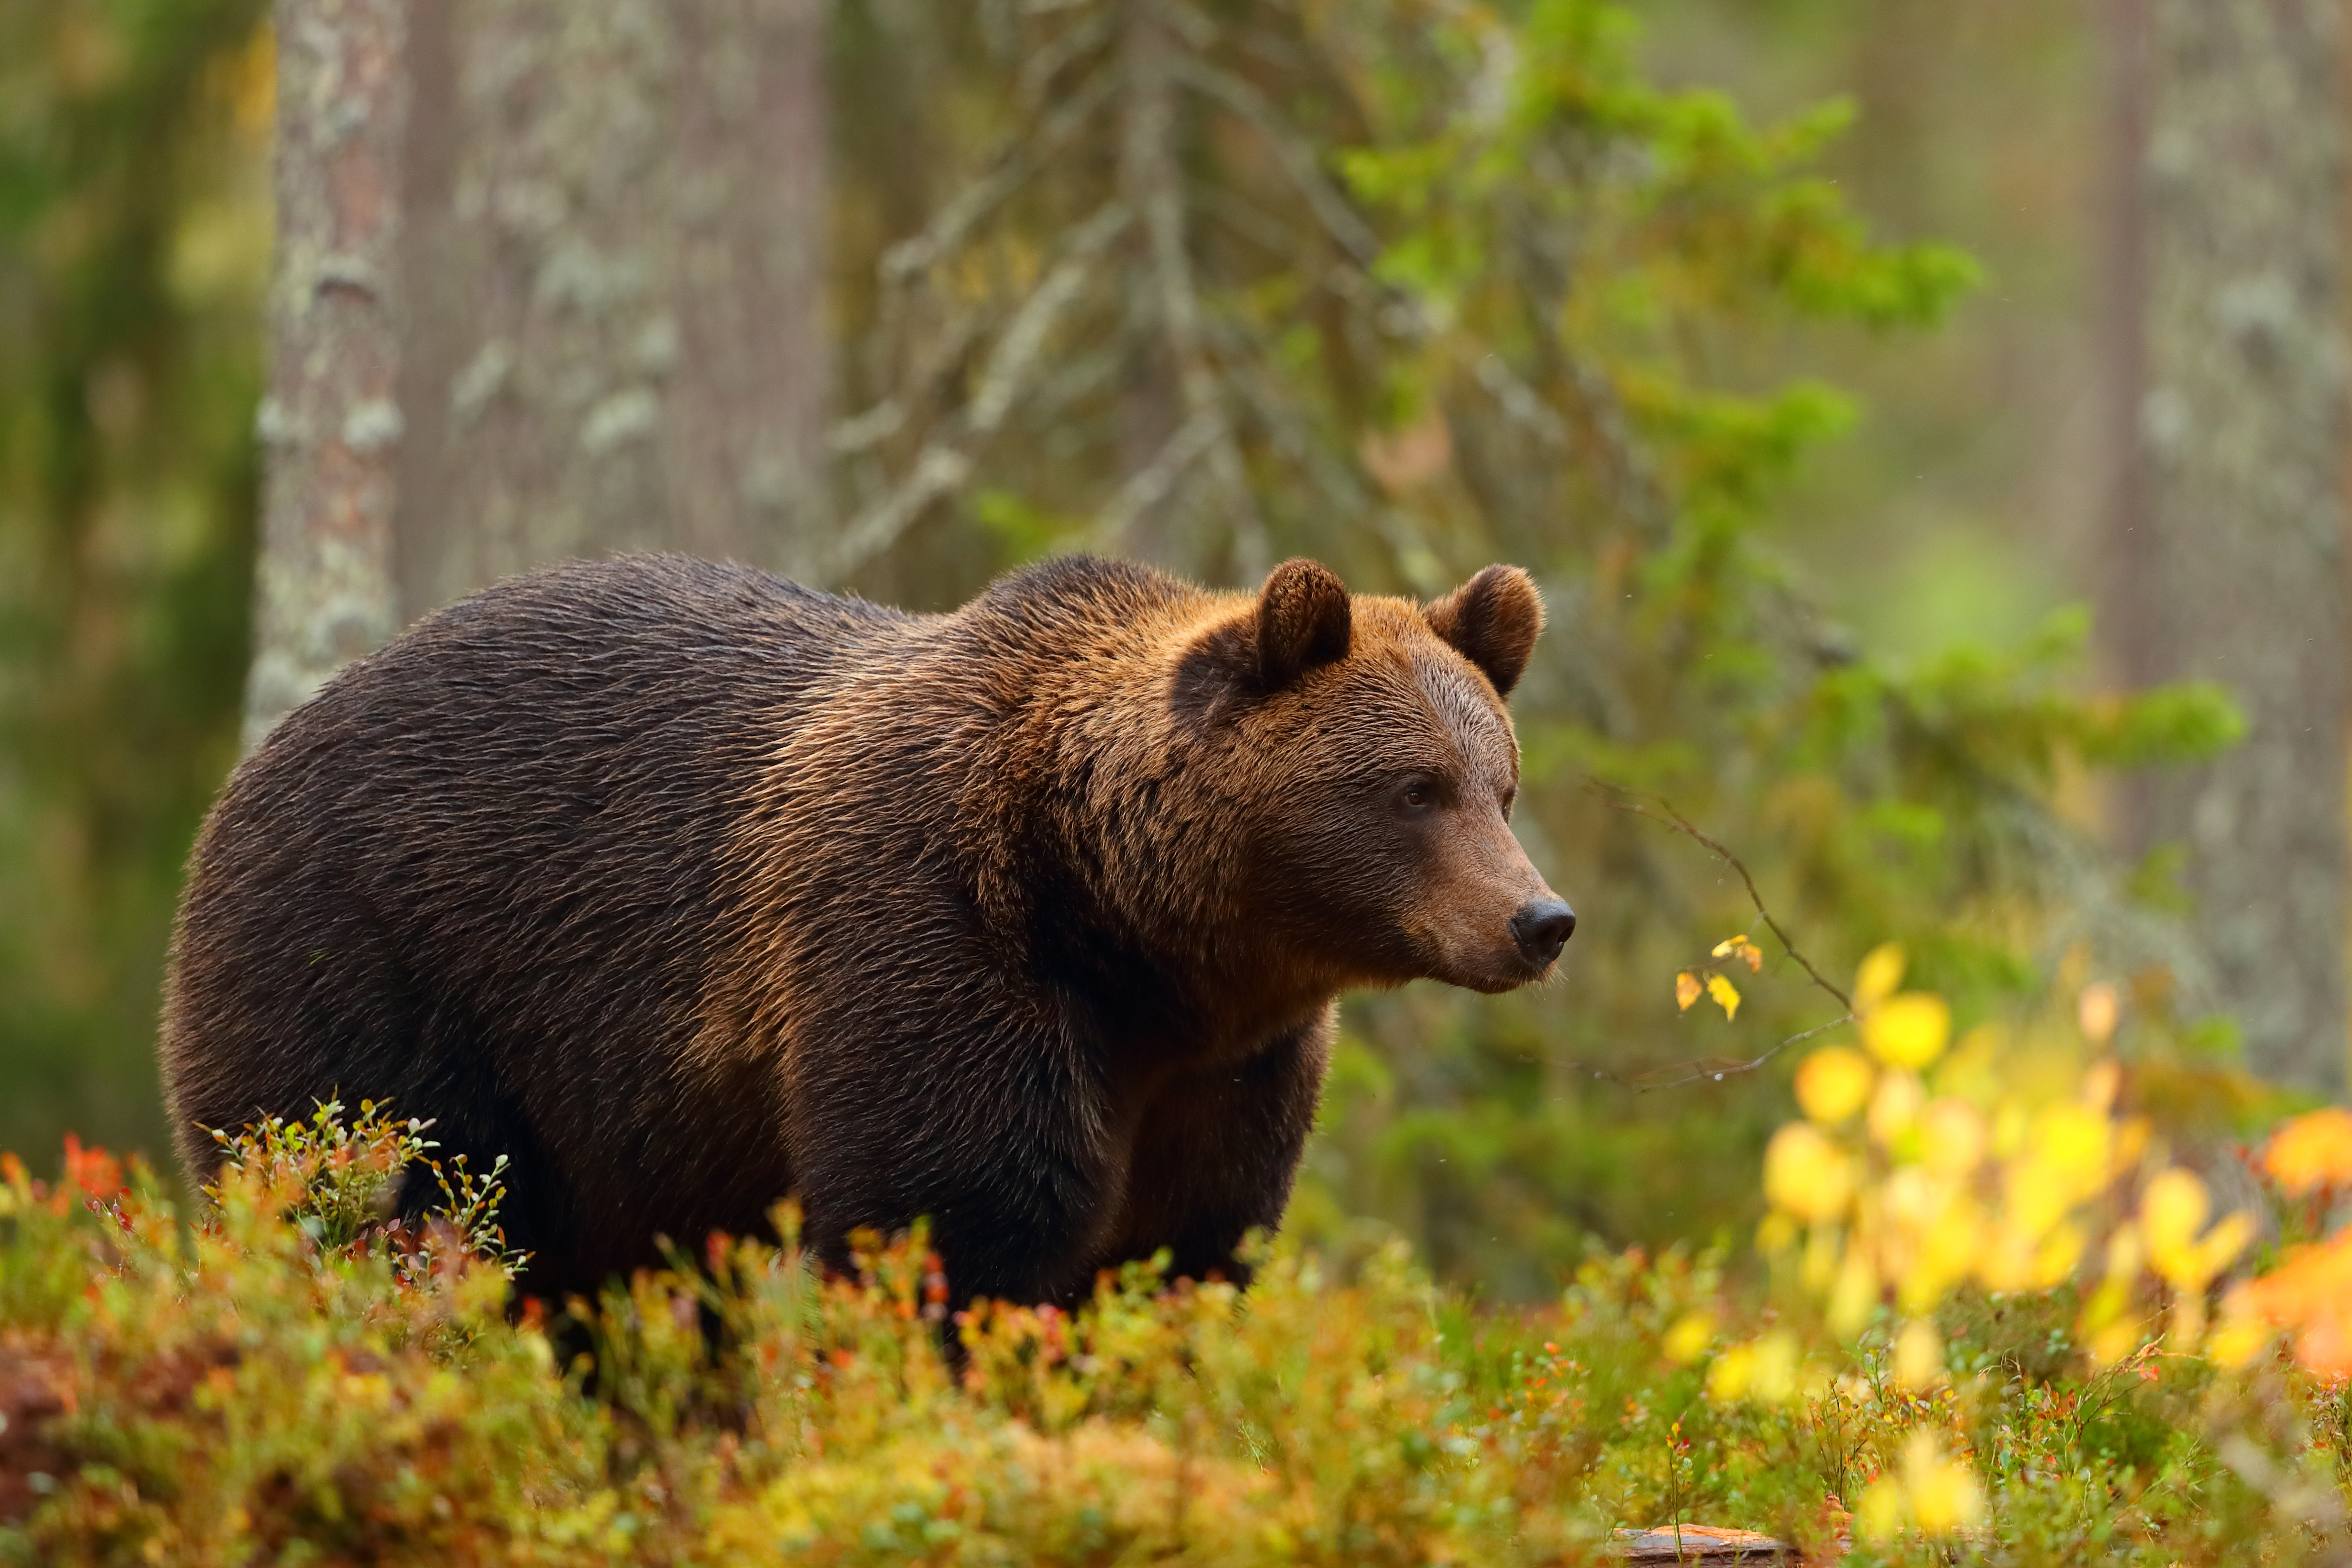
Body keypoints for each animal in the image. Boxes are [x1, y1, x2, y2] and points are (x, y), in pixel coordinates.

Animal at [161, 557, 1561, 1307]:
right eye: (1412, 788)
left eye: (1499, 782)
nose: (1538, 919)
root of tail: (252, 762)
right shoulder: (932, 943)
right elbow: (956, 1223)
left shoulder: (1224, 1072)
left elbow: (1175, 1249)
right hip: (367, 974)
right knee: (357, 1200)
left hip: (596, 1127)